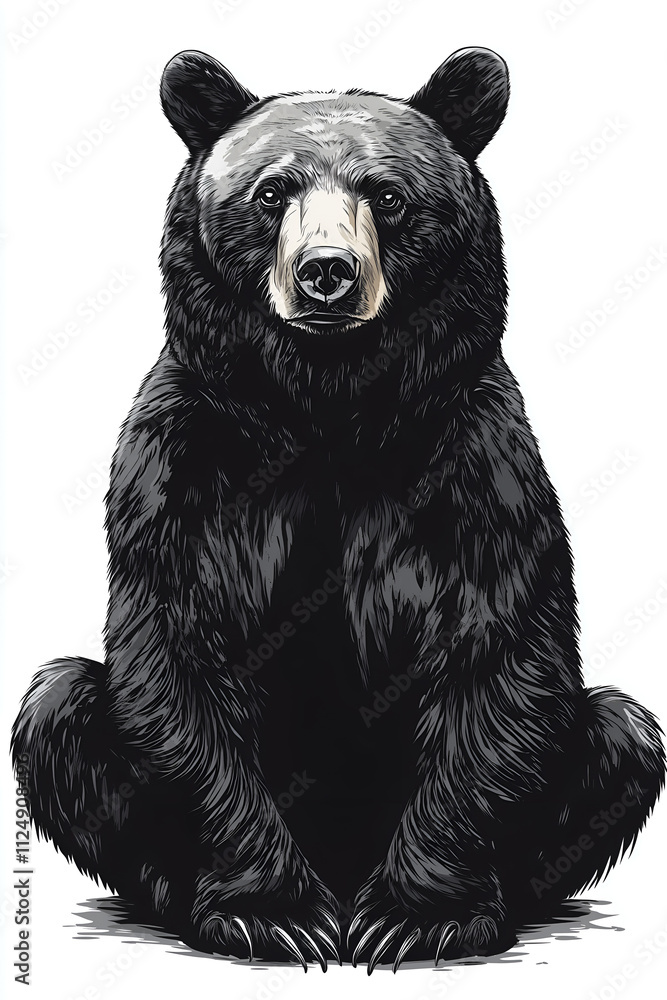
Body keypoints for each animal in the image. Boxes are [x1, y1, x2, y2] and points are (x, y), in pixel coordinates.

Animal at [12, 47, 665, 973]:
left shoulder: (477, 467)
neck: (328, 410)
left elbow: (497, 658)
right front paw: (273, 913)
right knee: (57, 709)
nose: (327, 271)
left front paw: (418, 917)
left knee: (620, 730)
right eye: (271, 191)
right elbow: (177, 659)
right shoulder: (181, 471)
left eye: (386, 195)